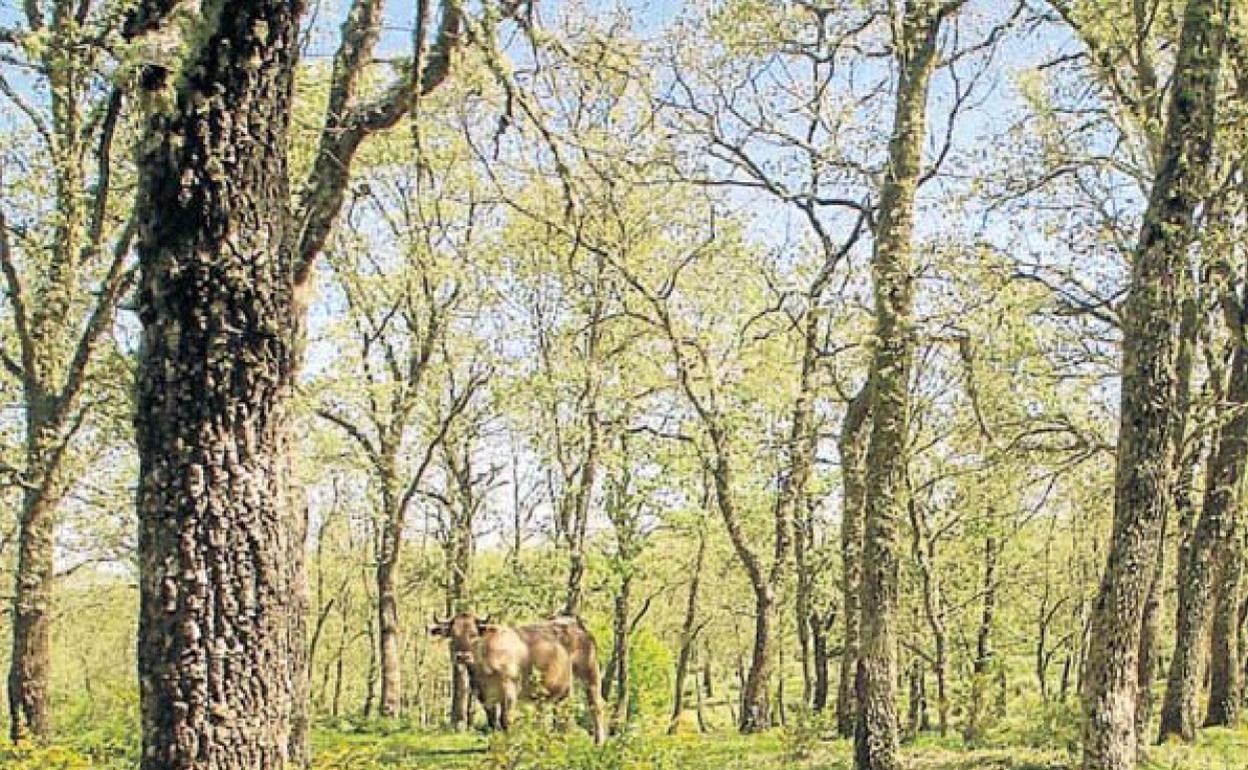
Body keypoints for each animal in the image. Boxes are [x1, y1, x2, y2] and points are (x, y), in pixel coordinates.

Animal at [426, 609, 606, 743]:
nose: (462, 656)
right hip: (563, 685)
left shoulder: (510, 690)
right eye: (452, 635)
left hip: (590, 672)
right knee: (562, 710)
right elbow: (492, 722)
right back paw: (559, 739)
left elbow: (506, 720)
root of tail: (574, 624)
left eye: (473, 634)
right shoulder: (484, 696)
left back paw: (599, 741)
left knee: (595, 705)